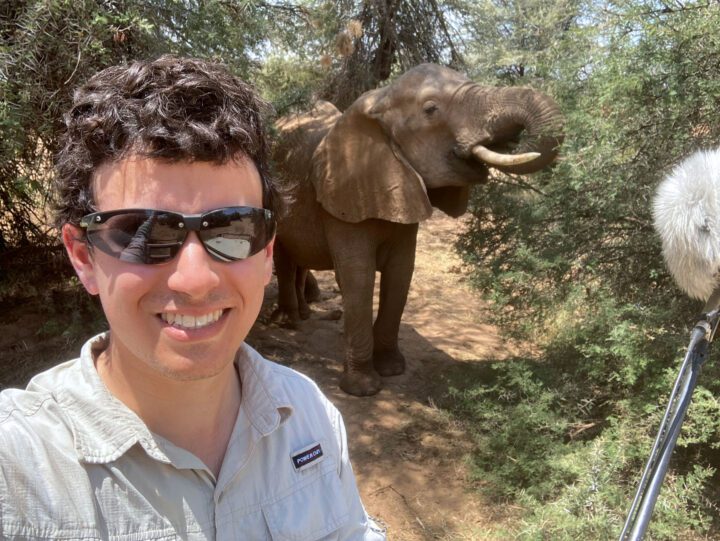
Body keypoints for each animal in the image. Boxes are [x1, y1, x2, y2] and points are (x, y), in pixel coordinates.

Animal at [270, 63, 564, 396]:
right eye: (431, 110)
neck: (379, 101)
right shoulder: (342, 200)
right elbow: (359, 277)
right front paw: (363, 388)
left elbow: (401, 274)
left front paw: (392, 369)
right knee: (283, 257)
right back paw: (287, 322)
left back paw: (303, 315)